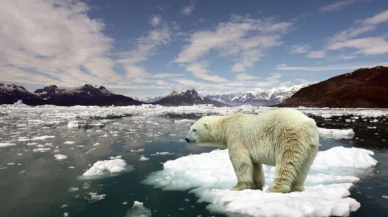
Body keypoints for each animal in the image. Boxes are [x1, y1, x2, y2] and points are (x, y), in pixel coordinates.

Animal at [185, 108, 318, 193]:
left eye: (194, 129)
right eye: (190, 128)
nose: (186, 138)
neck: (226, 124)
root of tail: (309, 124)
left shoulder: (236, 137)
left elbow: (240, 161)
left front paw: (237, 186)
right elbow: (254, 165)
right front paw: (255, 186)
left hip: (289, 136)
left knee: (286, 161)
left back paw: (276, 188)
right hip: (310, 147)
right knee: (304, 166)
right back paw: (297, 187)